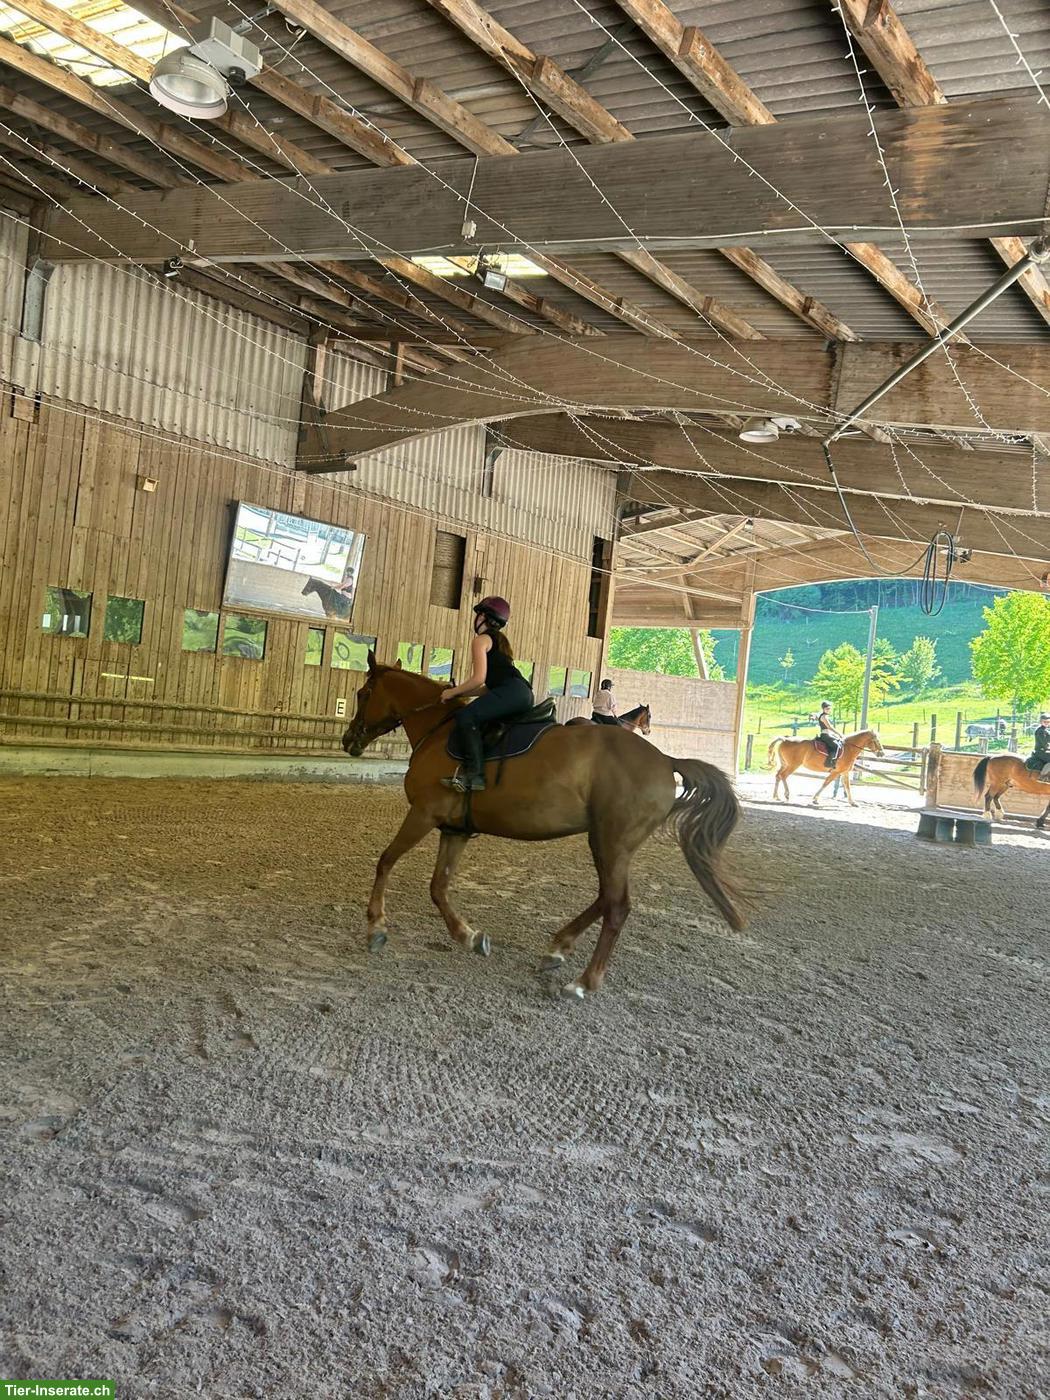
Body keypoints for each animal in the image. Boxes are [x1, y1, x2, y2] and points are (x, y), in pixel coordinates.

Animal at [342, 656, 743, 998]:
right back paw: (557, 948)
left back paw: (583, 982)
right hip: (606, 843)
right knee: (605, 898)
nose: (348, 740)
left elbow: (386, 861)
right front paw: (468, 936)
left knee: (617, 906)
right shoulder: (455, 829)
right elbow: (438, 887)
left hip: (611, 843)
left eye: (363, 693)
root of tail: (665, 760)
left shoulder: (424, 814)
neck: (439, 731)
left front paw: (376, 927)